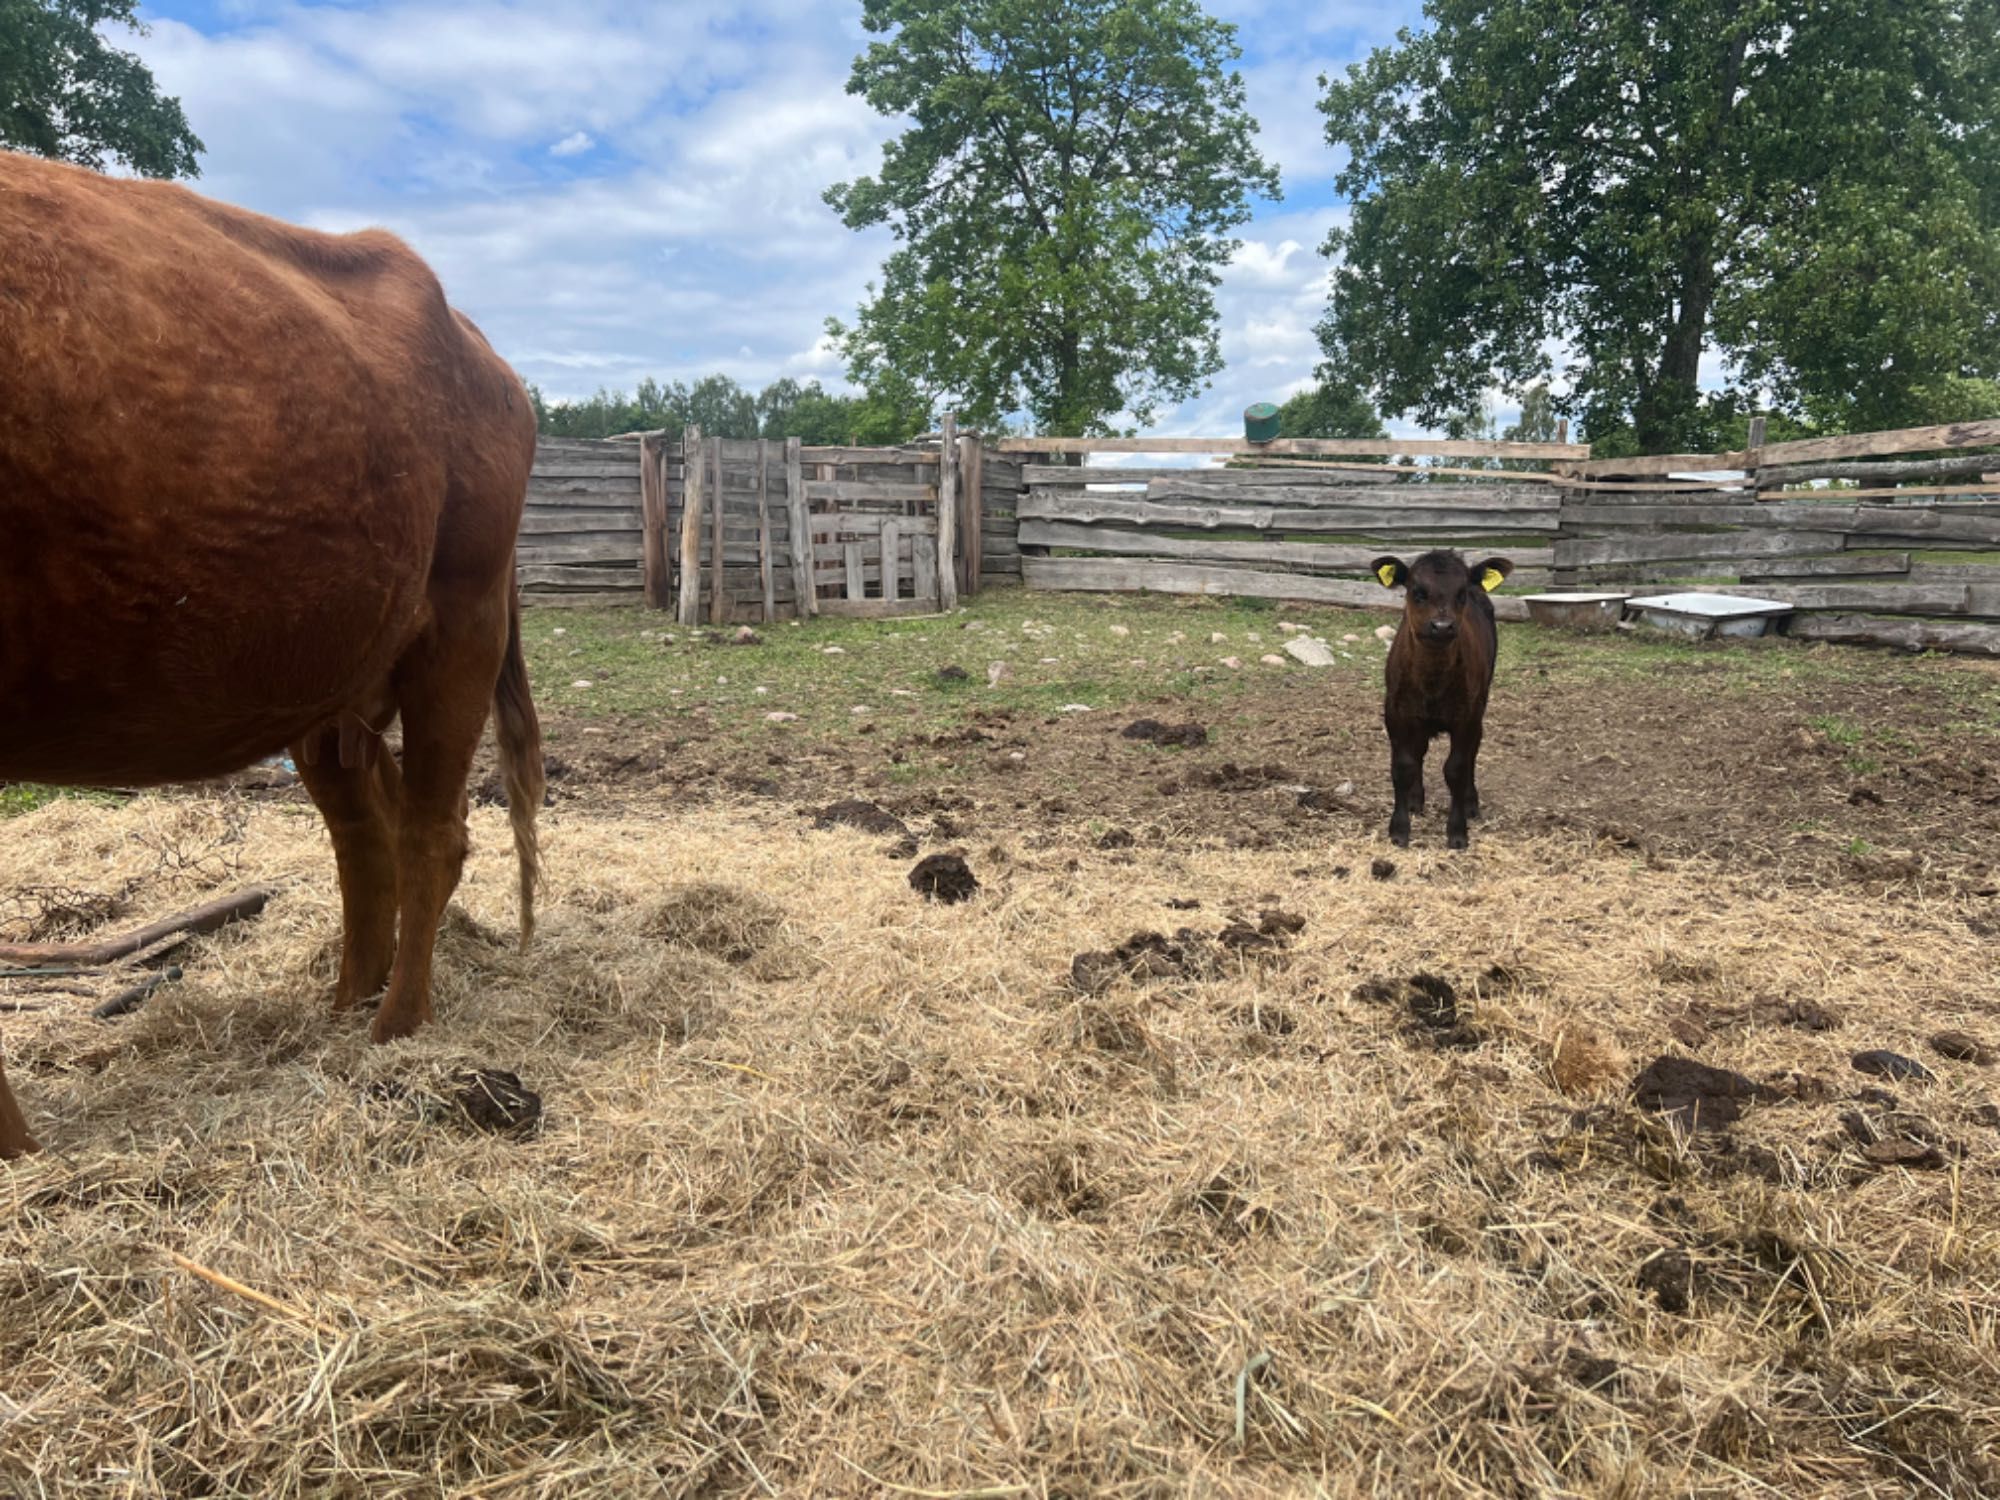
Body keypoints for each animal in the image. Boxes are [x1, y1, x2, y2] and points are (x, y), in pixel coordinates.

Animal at [0, 153, 548, 1160]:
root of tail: (487, 356)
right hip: (329, 677)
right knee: (367, 834)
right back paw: (343, 1007)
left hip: (460, 626)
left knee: (429, 832)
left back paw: (393, 1030)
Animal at [1376, 552, 1512, 856]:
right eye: (1417, 591)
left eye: (1461, 593)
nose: (1442, 626)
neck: (1432, 680)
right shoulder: (1396, 713)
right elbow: (1402, 766)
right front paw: (1399, 830)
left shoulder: (1467, 717)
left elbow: (1457, 768)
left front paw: (1457, 832)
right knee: (1419, 753)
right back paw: (1415, 800)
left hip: (1482, 699)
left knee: (1473, 752)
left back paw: (1471, 803)